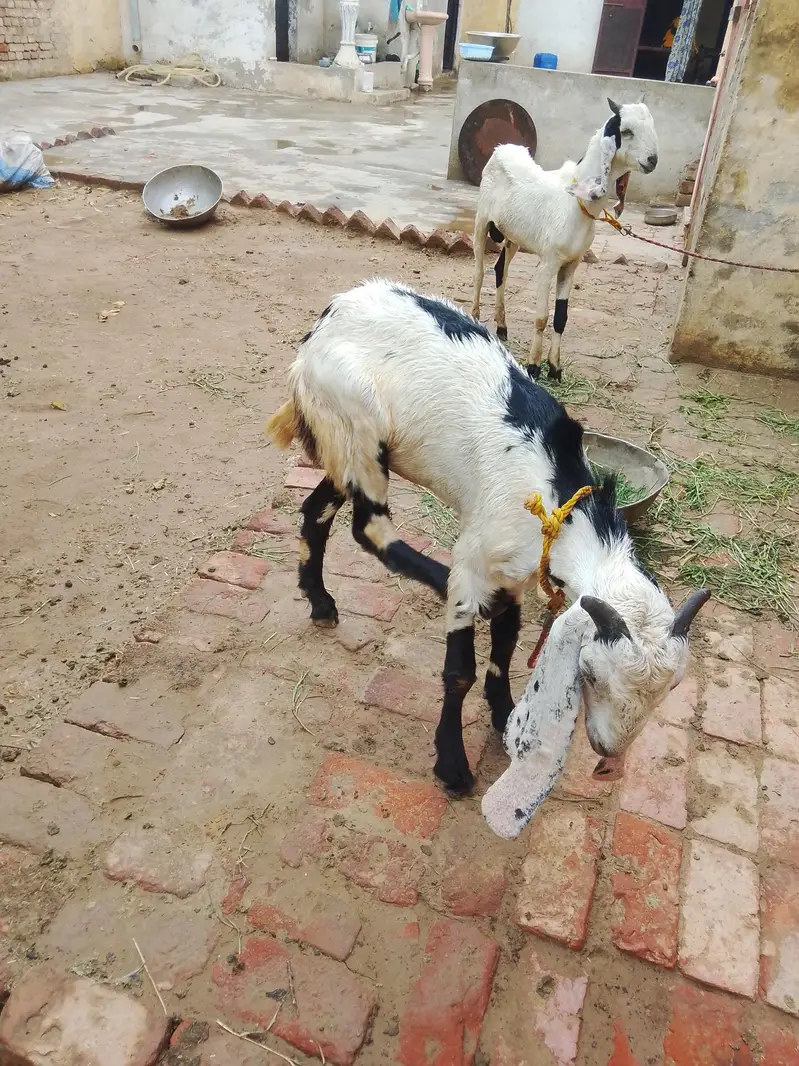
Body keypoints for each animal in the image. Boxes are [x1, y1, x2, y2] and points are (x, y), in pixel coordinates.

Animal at [267, 279, 708, 797]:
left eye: (672, 688)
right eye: (591, 674)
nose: (608, 753)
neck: (554, 498)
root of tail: (330, 315)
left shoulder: (517, 571)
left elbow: (507, 642)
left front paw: (503, 715)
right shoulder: (479, 560)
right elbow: (460, 671)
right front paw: (453, 764)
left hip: (341, 442)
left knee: (316, 512)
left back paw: (319, 601)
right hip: (357, 428)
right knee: (369, 526)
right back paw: (429, 580)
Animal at [471, 98, 659, 381]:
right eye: (626, 131)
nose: (652, 160)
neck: (575, 203)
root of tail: (502, 148)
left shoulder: (572, 264)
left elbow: (561, 317)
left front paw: (555, 368)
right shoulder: (548, 263)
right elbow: (541, 317)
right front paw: (533, 366)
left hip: (513, 236)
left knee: (500, 269)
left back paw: (502, 326)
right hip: (482, 221)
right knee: (480, 271)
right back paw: (474, 316)